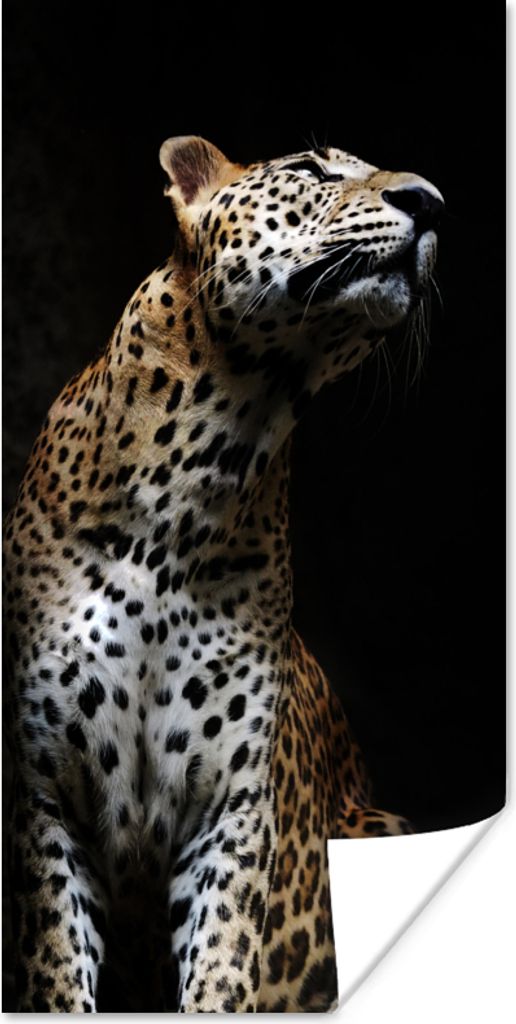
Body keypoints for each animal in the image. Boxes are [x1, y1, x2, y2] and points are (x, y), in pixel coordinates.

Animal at [3, 135, 443, 1012]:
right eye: (312, 169)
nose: (433, 202)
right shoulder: (41, 799)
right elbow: (58, 974)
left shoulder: (233, 813)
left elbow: (222, 967)